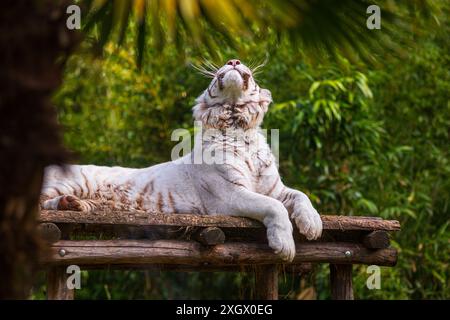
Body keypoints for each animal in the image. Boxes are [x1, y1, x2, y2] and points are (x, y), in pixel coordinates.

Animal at [40, 58, 322, 262]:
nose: (233, 61)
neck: (238, 128)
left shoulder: (275, 188)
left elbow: (300, 195)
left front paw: (313, 224)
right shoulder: (228, 195)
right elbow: (273, 207)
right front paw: (285, 246)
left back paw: (78, 206)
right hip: (70, 182)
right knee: (40, 205)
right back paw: (67, 203)